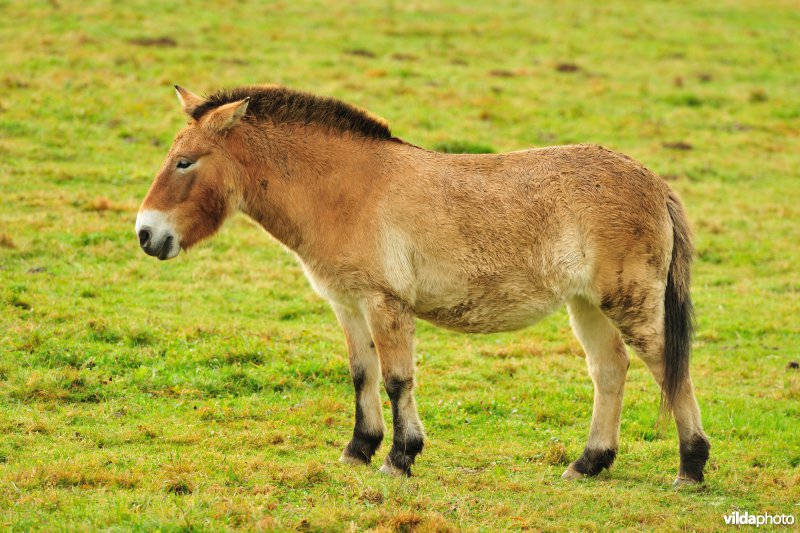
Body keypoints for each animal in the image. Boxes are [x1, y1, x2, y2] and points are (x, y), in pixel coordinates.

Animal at [135, 84, 710, 486]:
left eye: (184, 162)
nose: (146, 234)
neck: (347, 190)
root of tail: (655, 183)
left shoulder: (383, 303)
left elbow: (396, 380)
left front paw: (399, 458)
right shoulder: (347, 305)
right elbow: (362, 376)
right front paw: (359, 450)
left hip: (628, 303)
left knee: (669, 367)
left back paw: (691, 467)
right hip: (587, 304)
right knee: (610, 369)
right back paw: (588, 463)